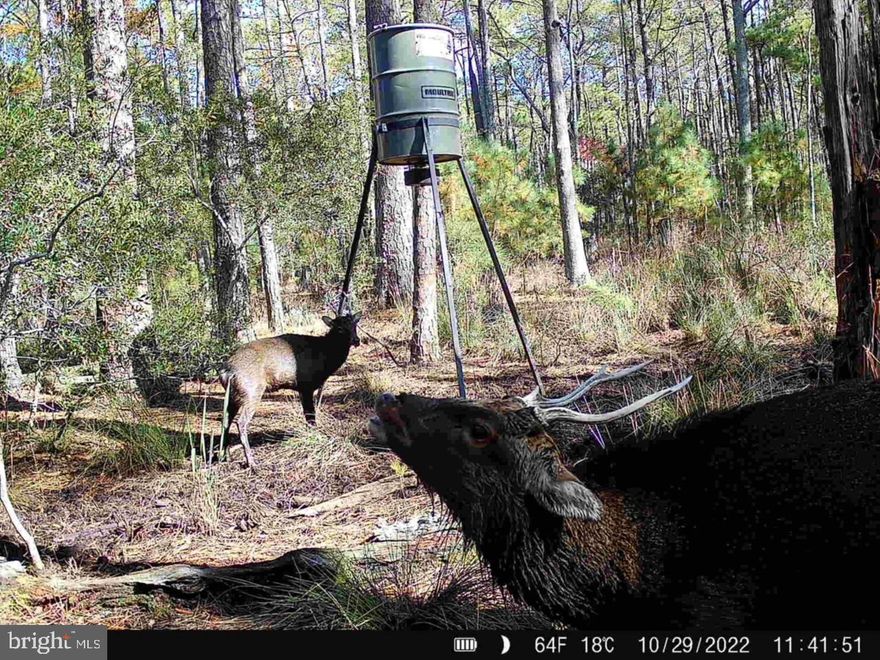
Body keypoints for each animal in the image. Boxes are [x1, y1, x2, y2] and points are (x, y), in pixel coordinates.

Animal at [220, 312, 361, 467]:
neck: (325, 357)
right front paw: (314, 436)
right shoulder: (307, 385)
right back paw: (251, 462)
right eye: (340, 328)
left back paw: (225, 456)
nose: (356, 340)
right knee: (241, 422)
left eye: (355, 325)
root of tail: (226, 372)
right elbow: (310, 416)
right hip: (251, 392)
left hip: (233, 396)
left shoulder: (301, 389)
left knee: (225, 420)